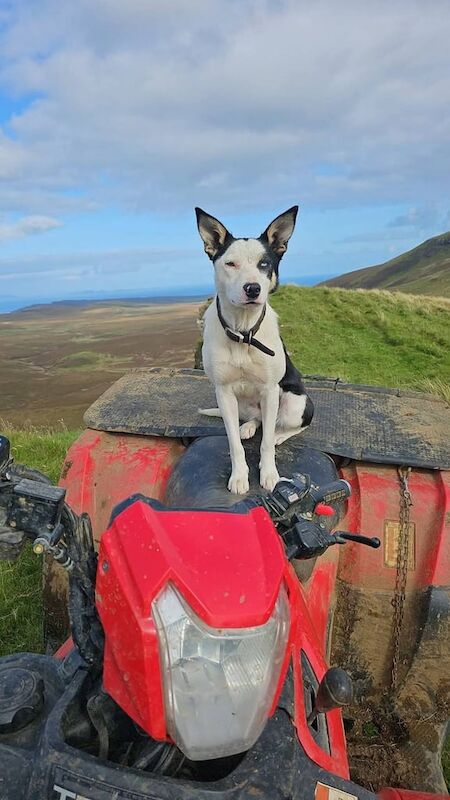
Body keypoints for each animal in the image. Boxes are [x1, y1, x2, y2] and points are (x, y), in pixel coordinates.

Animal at [195, 206, 314, 494]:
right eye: (230, 264)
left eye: (264, 264)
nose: (252, 288)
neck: (243, 332)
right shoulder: (224, 393)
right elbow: (234, 445)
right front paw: (239, 476)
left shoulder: (270, 391)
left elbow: (266, 443)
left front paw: (269, 474)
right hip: (242, 404)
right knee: (256, 420)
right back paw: (248, 427)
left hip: (295, 402)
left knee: (294, 425)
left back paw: (281, 434)